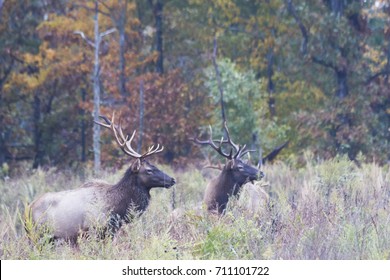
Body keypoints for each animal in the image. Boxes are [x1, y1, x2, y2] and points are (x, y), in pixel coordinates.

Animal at [29, 112, 177, 244]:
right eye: (149, 170)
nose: (172, 179)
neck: (117, 210)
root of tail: (29, 208)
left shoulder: (110, 231)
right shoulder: (93, 229)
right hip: (39, 235)